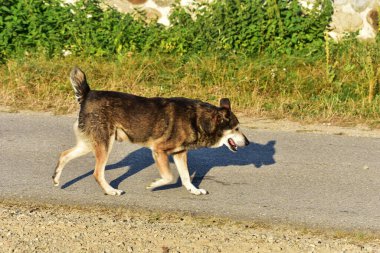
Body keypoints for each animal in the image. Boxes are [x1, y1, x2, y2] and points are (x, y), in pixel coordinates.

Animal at [52, 67, 249, 196]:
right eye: (236, 128)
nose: (248, 142)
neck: (198, 119)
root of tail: (87, 94)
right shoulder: (159, 151)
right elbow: (169, 176)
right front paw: (154, 184)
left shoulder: (180, 154)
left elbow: (186, 177)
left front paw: (194, 190)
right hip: (104, 146)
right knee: (97, 173)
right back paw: (111, 191)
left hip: (90, 144)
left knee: (64, 155)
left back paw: (56, 179)